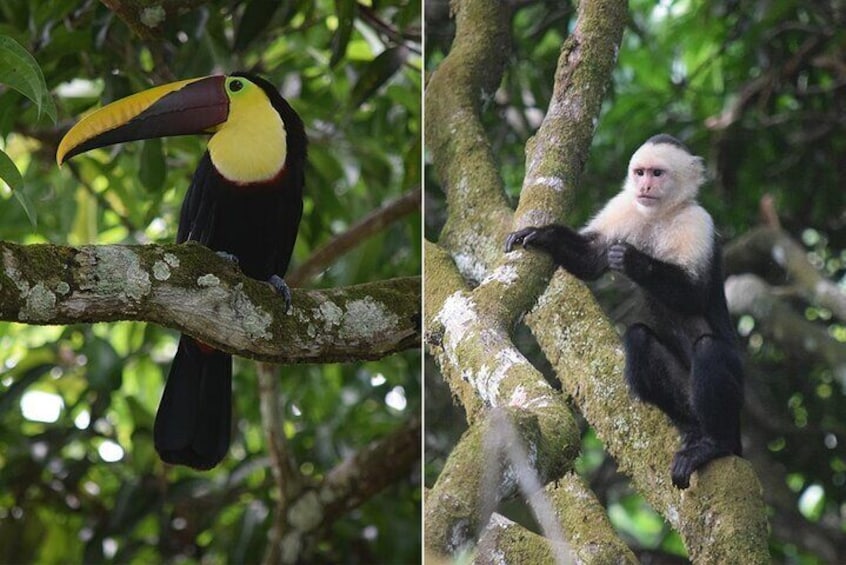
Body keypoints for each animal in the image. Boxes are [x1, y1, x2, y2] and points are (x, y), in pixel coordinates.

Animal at [505, 134, 743, 489]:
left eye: (657, 173)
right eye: (640, 172)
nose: (644, 186)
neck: (659, 215)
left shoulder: (697, 222)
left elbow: (695, 293)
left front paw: (634, 261)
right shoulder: (625, 207)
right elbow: (591, 258)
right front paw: (541, 234)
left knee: (710, 348)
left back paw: (716, 444)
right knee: (639, 338)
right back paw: (693, 431)